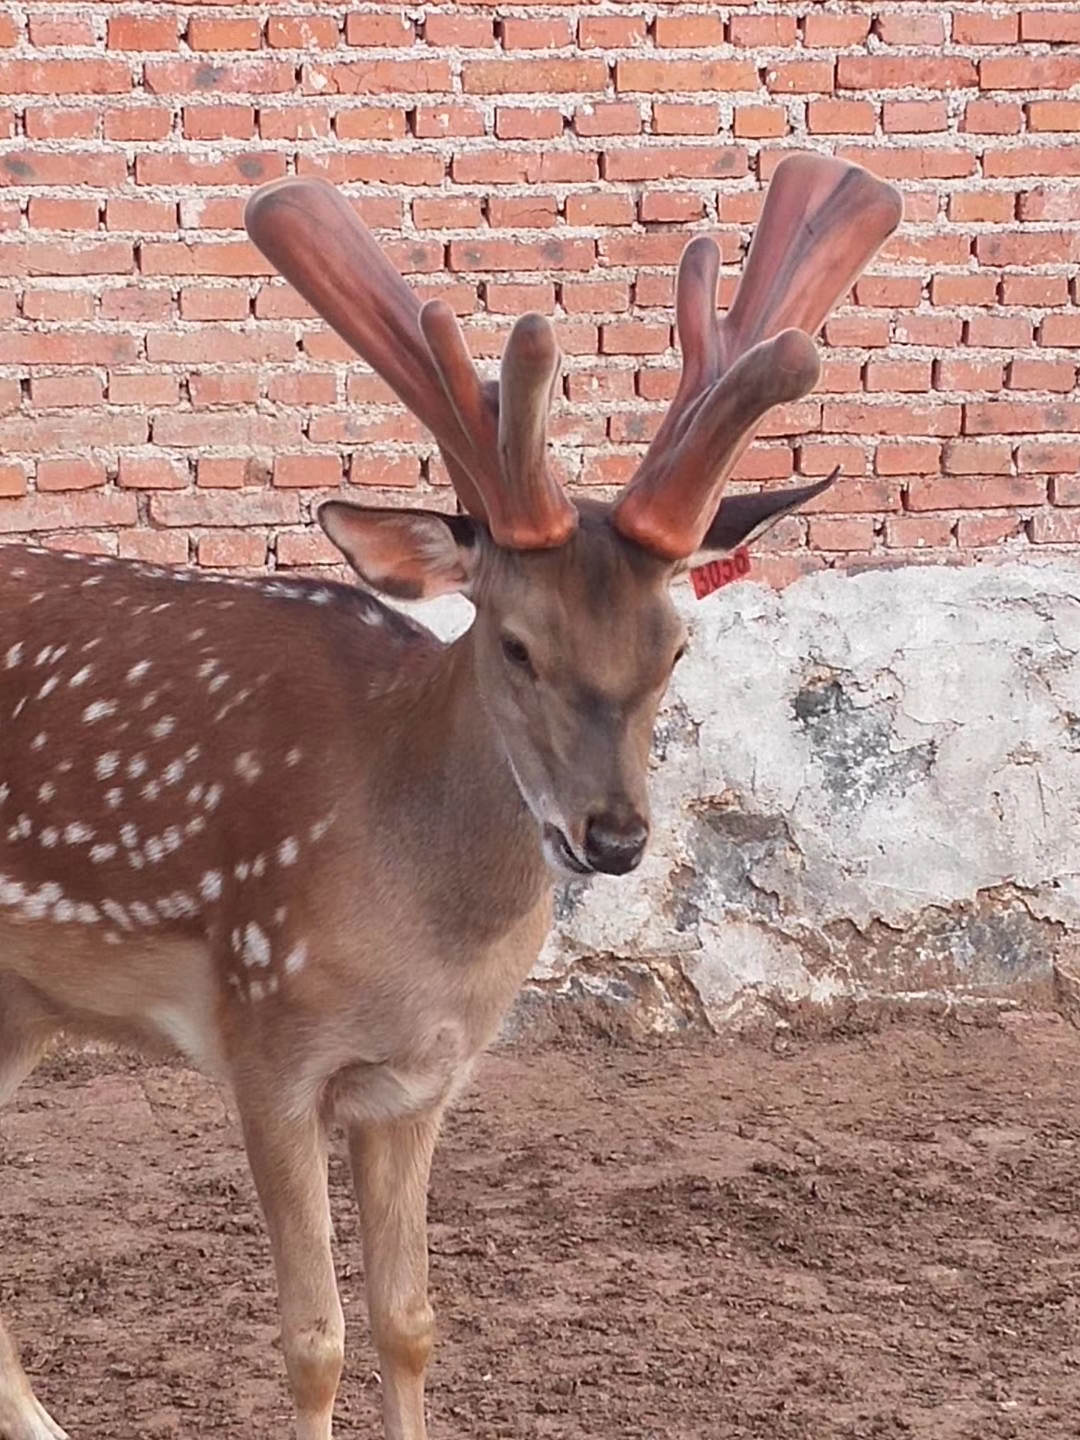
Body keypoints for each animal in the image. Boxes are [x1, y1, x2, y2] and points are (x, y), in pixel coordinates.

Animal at [0, 157, 898, 1440]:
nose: (612, 836)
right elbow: (314, 1341)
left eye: (676, 646)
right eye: (514, 644)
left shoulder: (422, 1078)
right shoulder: (266, 1036)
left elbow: (409, 1321)